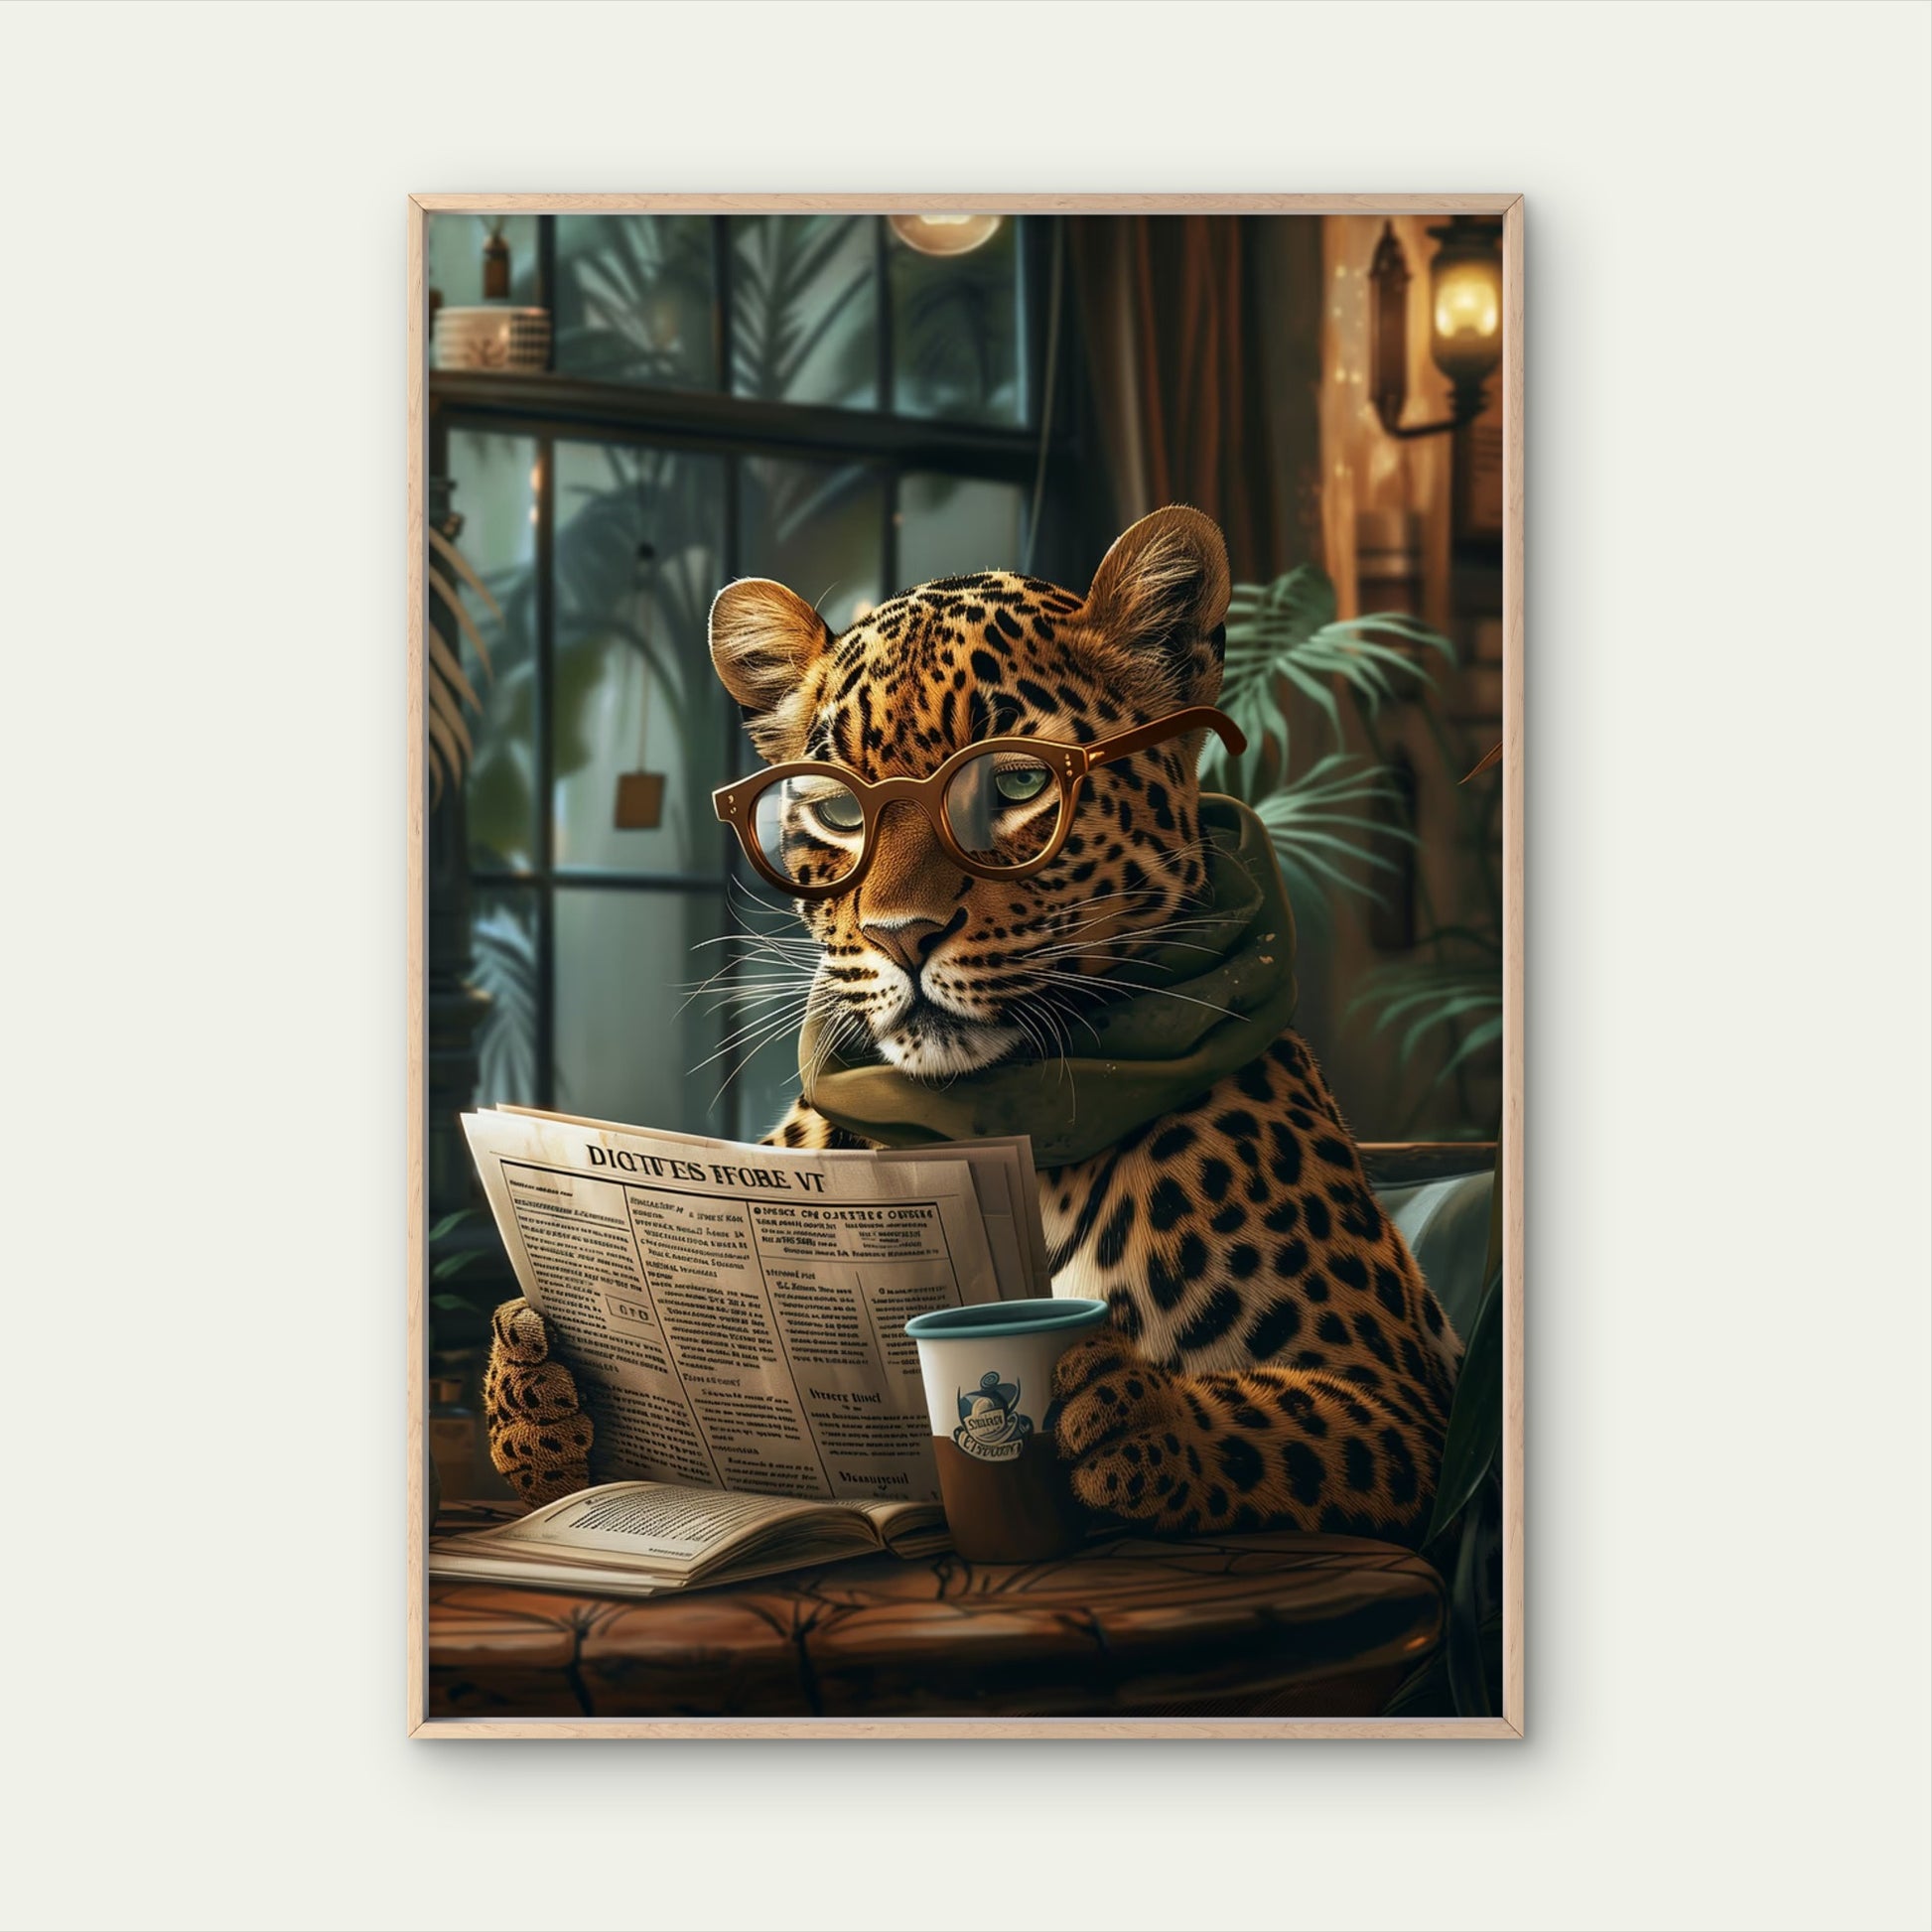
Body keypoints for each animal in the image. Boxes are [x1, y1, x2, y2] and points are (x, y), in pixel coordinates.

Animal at [484, 505, 1463, 1546]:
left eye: (1019, 784)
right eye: (837, 809)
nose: (900, 934)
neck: (998, 1126)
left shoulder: (1400, 1406)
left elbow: (1257, 1423)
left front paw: (1129, 1414)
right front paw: (538, 1384)